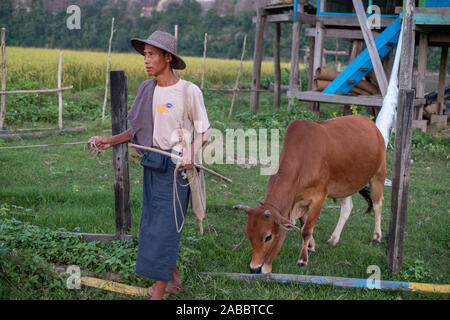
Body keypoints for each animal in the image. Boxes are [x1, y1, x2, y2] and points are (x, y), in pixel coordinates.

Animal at [234, 114, 384, 274]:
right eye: (248, 234)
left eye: (268, 237)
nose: (254, 268)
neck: (302, 160)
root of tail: (370, 122)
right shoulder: (298, 201)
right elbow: (303, 224)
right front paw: (311, 246)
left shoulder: (319, 198)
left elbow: (306, 230)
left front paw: (303, 259)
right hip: (345, 184)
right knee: (347, 207)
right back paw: (333, 239)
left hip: (378, 175)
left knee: (377, 204)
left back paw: (376, 238)